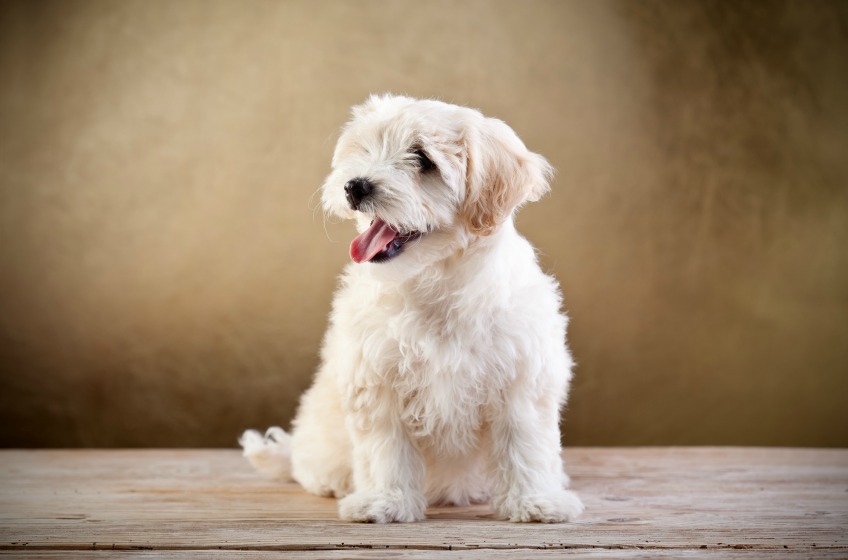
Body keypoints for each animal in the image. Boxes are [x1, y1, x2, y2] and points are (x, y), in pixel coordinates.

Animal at [240, 94, 584, 524]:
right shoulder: (376, 378)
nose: (354, 185)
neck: (435, 281)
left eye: (423, 159)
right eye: (365, 149)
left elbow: (524, 441)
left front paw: (535, 501)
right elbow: (385, 448)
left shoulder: (521, 373)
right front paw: (384, 501)